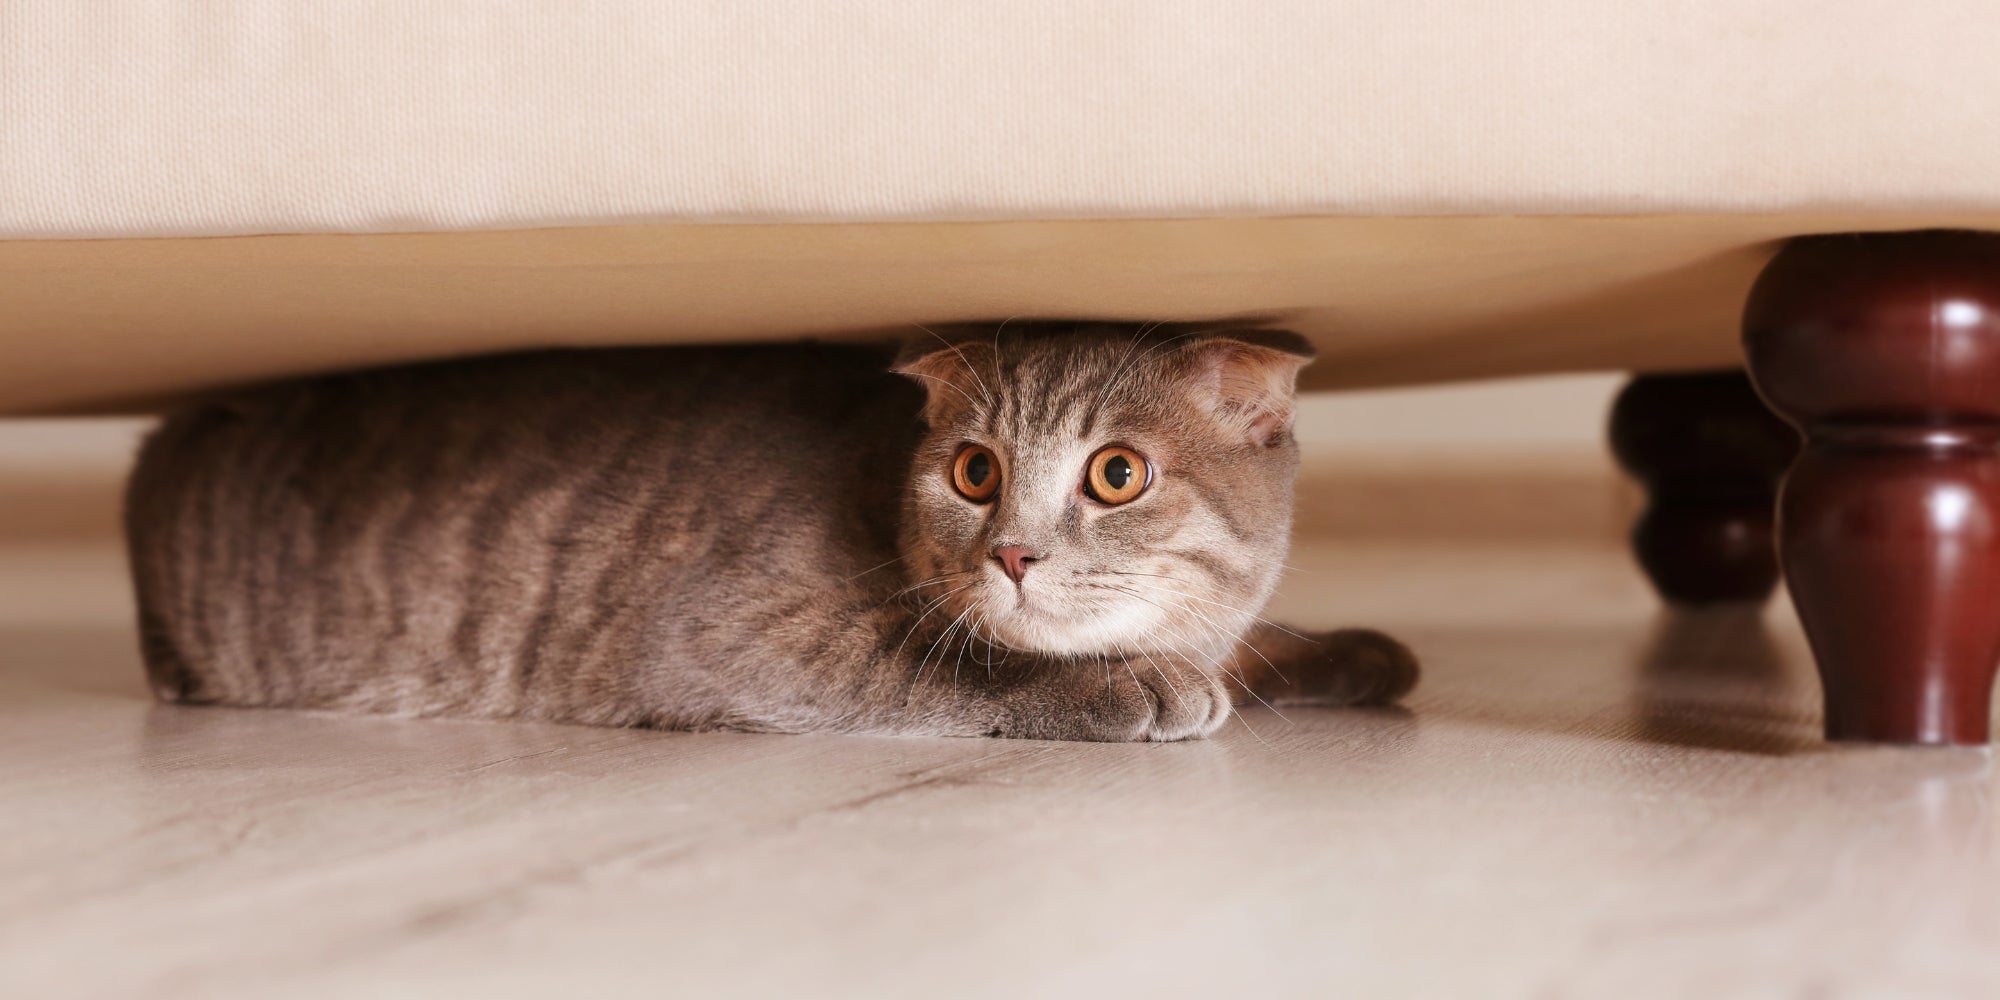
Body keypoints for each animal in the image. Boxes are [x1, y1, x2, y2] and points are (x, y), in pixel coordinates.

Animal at [125, 324, 1416, 740]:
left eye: (1116, 473)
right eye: (974, 470)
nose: (1010, 551)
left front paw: (1342, 649)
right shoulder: (737, 636)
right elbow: (950, 668)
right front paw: (1131, 684)